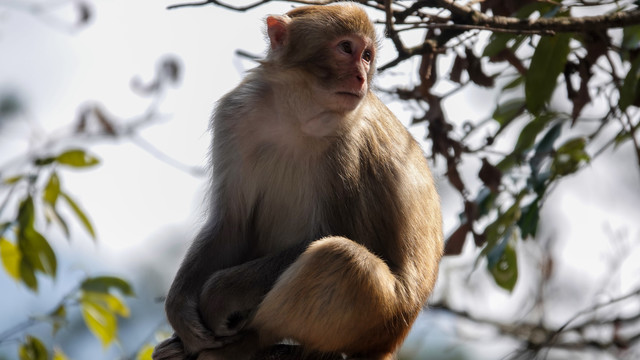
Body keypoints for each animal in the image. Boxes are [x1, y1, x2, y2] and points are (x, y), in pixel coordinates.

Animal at [154, 2, 442, 360]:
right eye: (346, 48)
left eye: (367, 56)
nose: (361, 77)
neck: (299, 114)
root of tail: (393, 339)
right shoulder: (235, 115)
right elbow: (231, 224)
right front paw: (181, 311)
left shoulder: (351, 146)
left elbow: (351, 236)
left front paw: (219, 294)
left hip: (381, 321)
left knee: (343, 260)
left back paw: (250, 341)